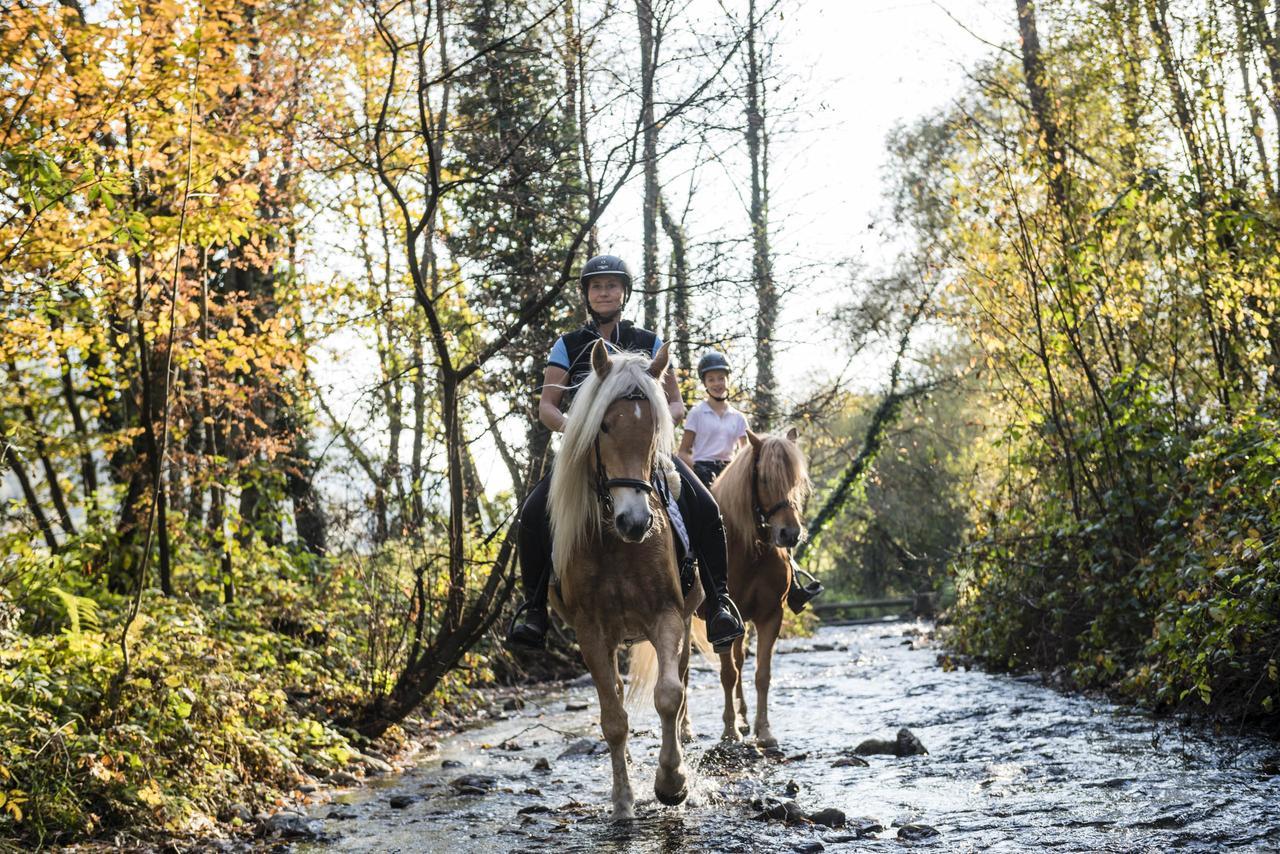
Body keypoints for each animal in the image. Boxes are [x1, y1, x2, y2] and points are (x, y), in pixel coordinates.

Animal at [542, 338, 701, 819]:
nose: (636, 522)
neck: (616, 543)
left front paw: (672, 783)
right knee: (613, 694)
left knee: (680, 684)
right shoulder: (591, 632)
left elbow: (668, 695)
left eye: (653, 428)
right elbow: (613, 720)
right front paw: (623, 801)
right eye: (605, 427)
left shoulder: (667, 615)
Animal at [711, 427, 808, 747]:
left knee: (741, 661)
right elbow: (727, 673)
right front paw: (729, 730)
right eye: (764, 478)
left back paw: (743, 717)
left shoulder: (769, 615)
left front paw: (763, 731)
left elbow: (761, 674)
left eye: (796, 480)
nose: (790, 534)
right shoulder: (720, 624)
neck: (749, 550)